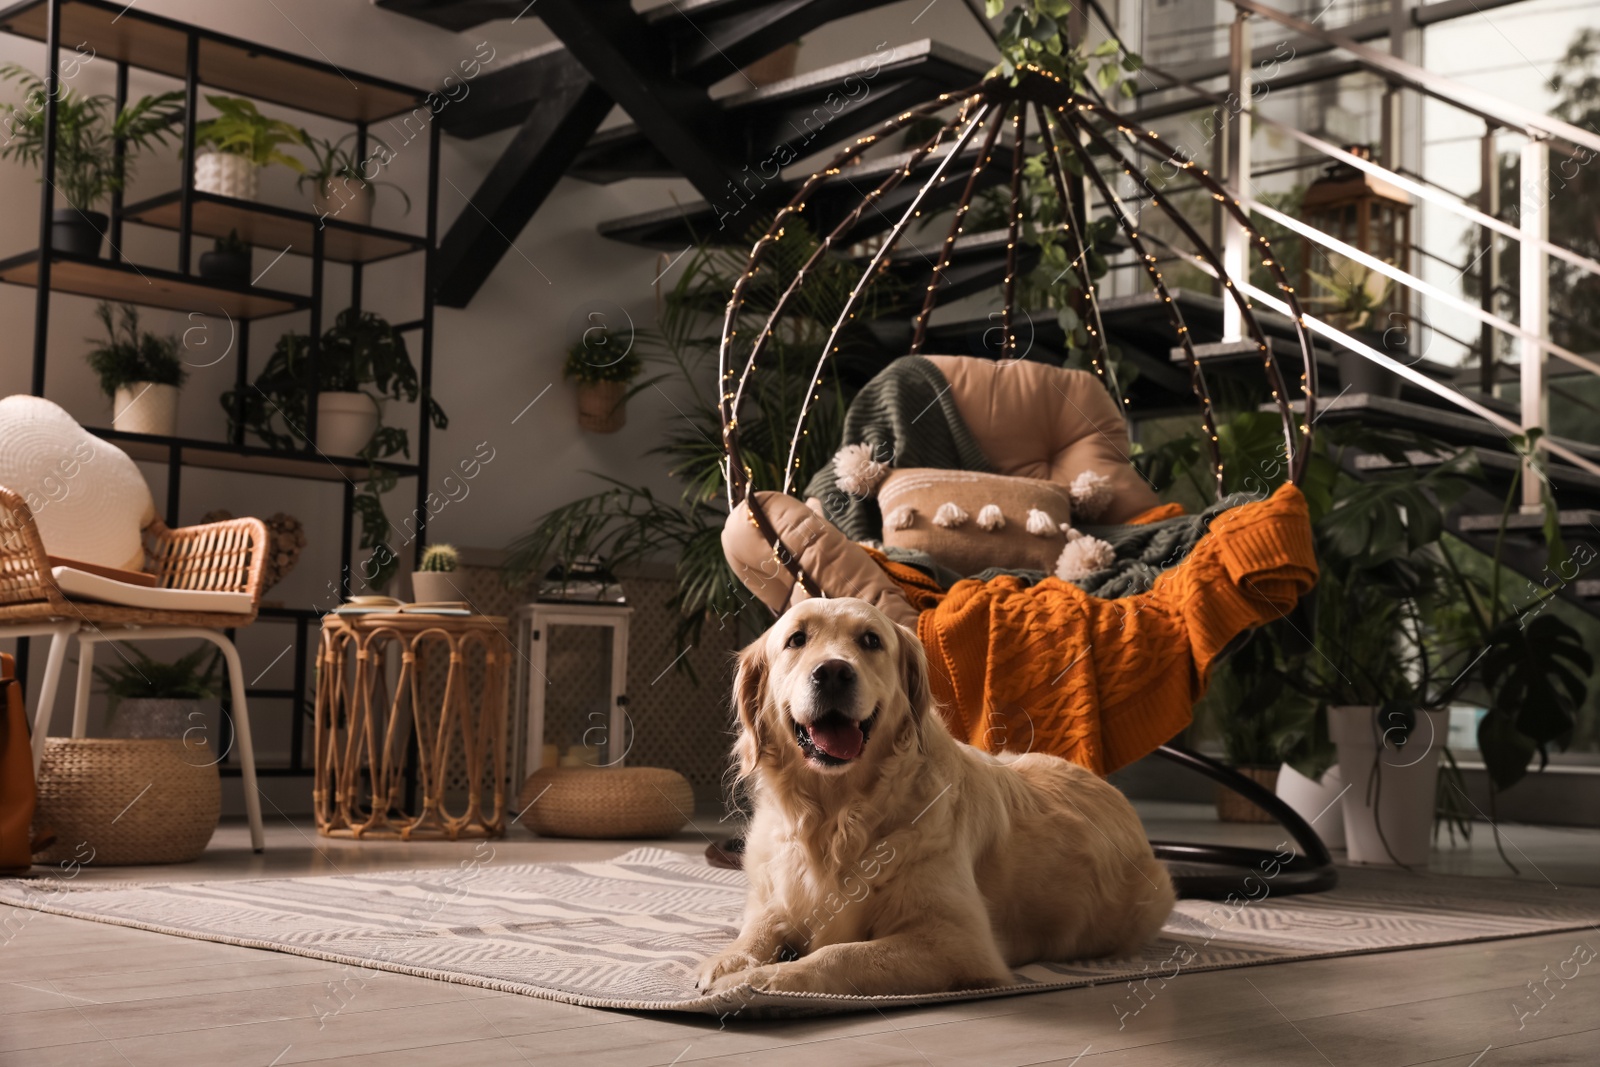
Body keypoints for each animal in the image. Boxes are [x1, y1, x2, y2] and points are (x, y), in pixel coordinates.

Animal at [700, 598, 1177, 998]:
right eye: (796, 639)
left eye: (870, 640)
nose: (833, 672)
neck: (836, 815)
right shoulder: (772, 895)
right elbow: (759, 928)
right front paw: (728, 963)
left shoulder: (959, 941)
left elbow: (839, 953)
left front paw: (757, 981)